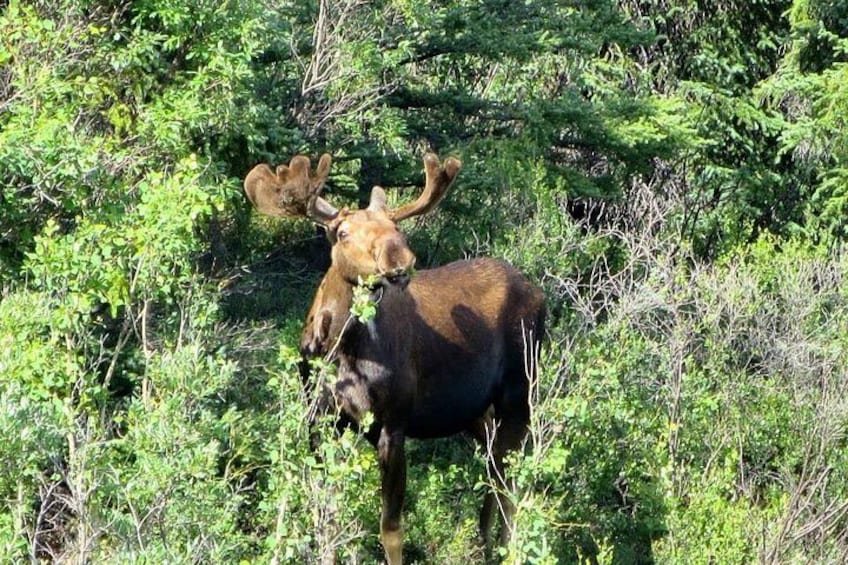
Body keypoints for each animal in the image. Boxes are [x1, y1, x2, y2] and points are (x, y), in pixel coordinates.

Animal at [244, 153, 546, 564]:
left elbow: (390, 528)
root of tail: (540, 295)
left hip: (519, 393)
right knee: (494, 469)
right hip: (475, 412)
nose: (400, 258)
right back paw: (484, 544)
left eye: (395, 226)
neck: (338, 348)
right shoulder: (320, 420)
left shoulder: (393, 423)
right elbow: (326, 511)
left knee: (510, 479)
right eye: (342, 232)